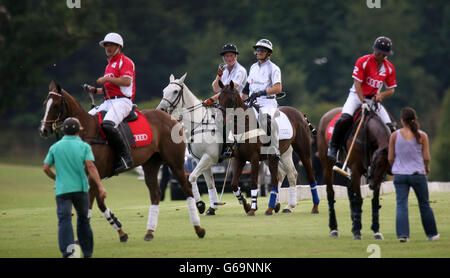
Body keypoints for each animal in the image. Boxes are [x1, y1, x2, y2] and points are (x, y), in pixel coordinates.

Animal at [40, 80, 206, 241]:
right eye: (45, 103)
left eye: (55, 105)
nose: (44, 130)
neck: (86, 130)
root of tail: (173, 118)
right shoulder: (89, 175)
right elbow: (99, 202)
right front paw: (120, 230)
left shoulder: (94, 173)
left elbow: (90, 203)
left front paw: (80, 238)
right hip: (151, 164)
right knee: (156, 193)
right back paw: (149, 232)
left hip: (174, 162)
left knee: (187, 187)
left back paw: (199, 227)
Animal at [216, 80, 318, 215]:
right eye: (219, 97)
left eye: (231, 99)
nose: (219, 118)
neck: (245, 125)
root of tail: (300, 113)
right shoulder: (239, 158)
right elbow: (233, 184)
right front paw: (246, 205)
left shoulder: (253, 158)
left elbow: (254, 183)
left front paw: (253, 208)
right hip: (281, 154)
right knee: (287, 174)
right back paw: (283, 206)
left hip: (303, 150)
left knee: (309, 174)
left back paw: (314, 206)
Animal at [316, 106, 390, 239]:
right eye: (378, 163)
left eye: (387, 166)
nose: (372, 185)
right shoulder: (356, 169)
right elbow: (359, 199)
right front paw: (357, 231)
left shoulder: (375, 176)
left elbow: (375, 200)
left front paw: (376, 230)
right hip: (327, 165)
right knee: (330, 193)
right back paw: (334, 228)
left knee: (350, 190)